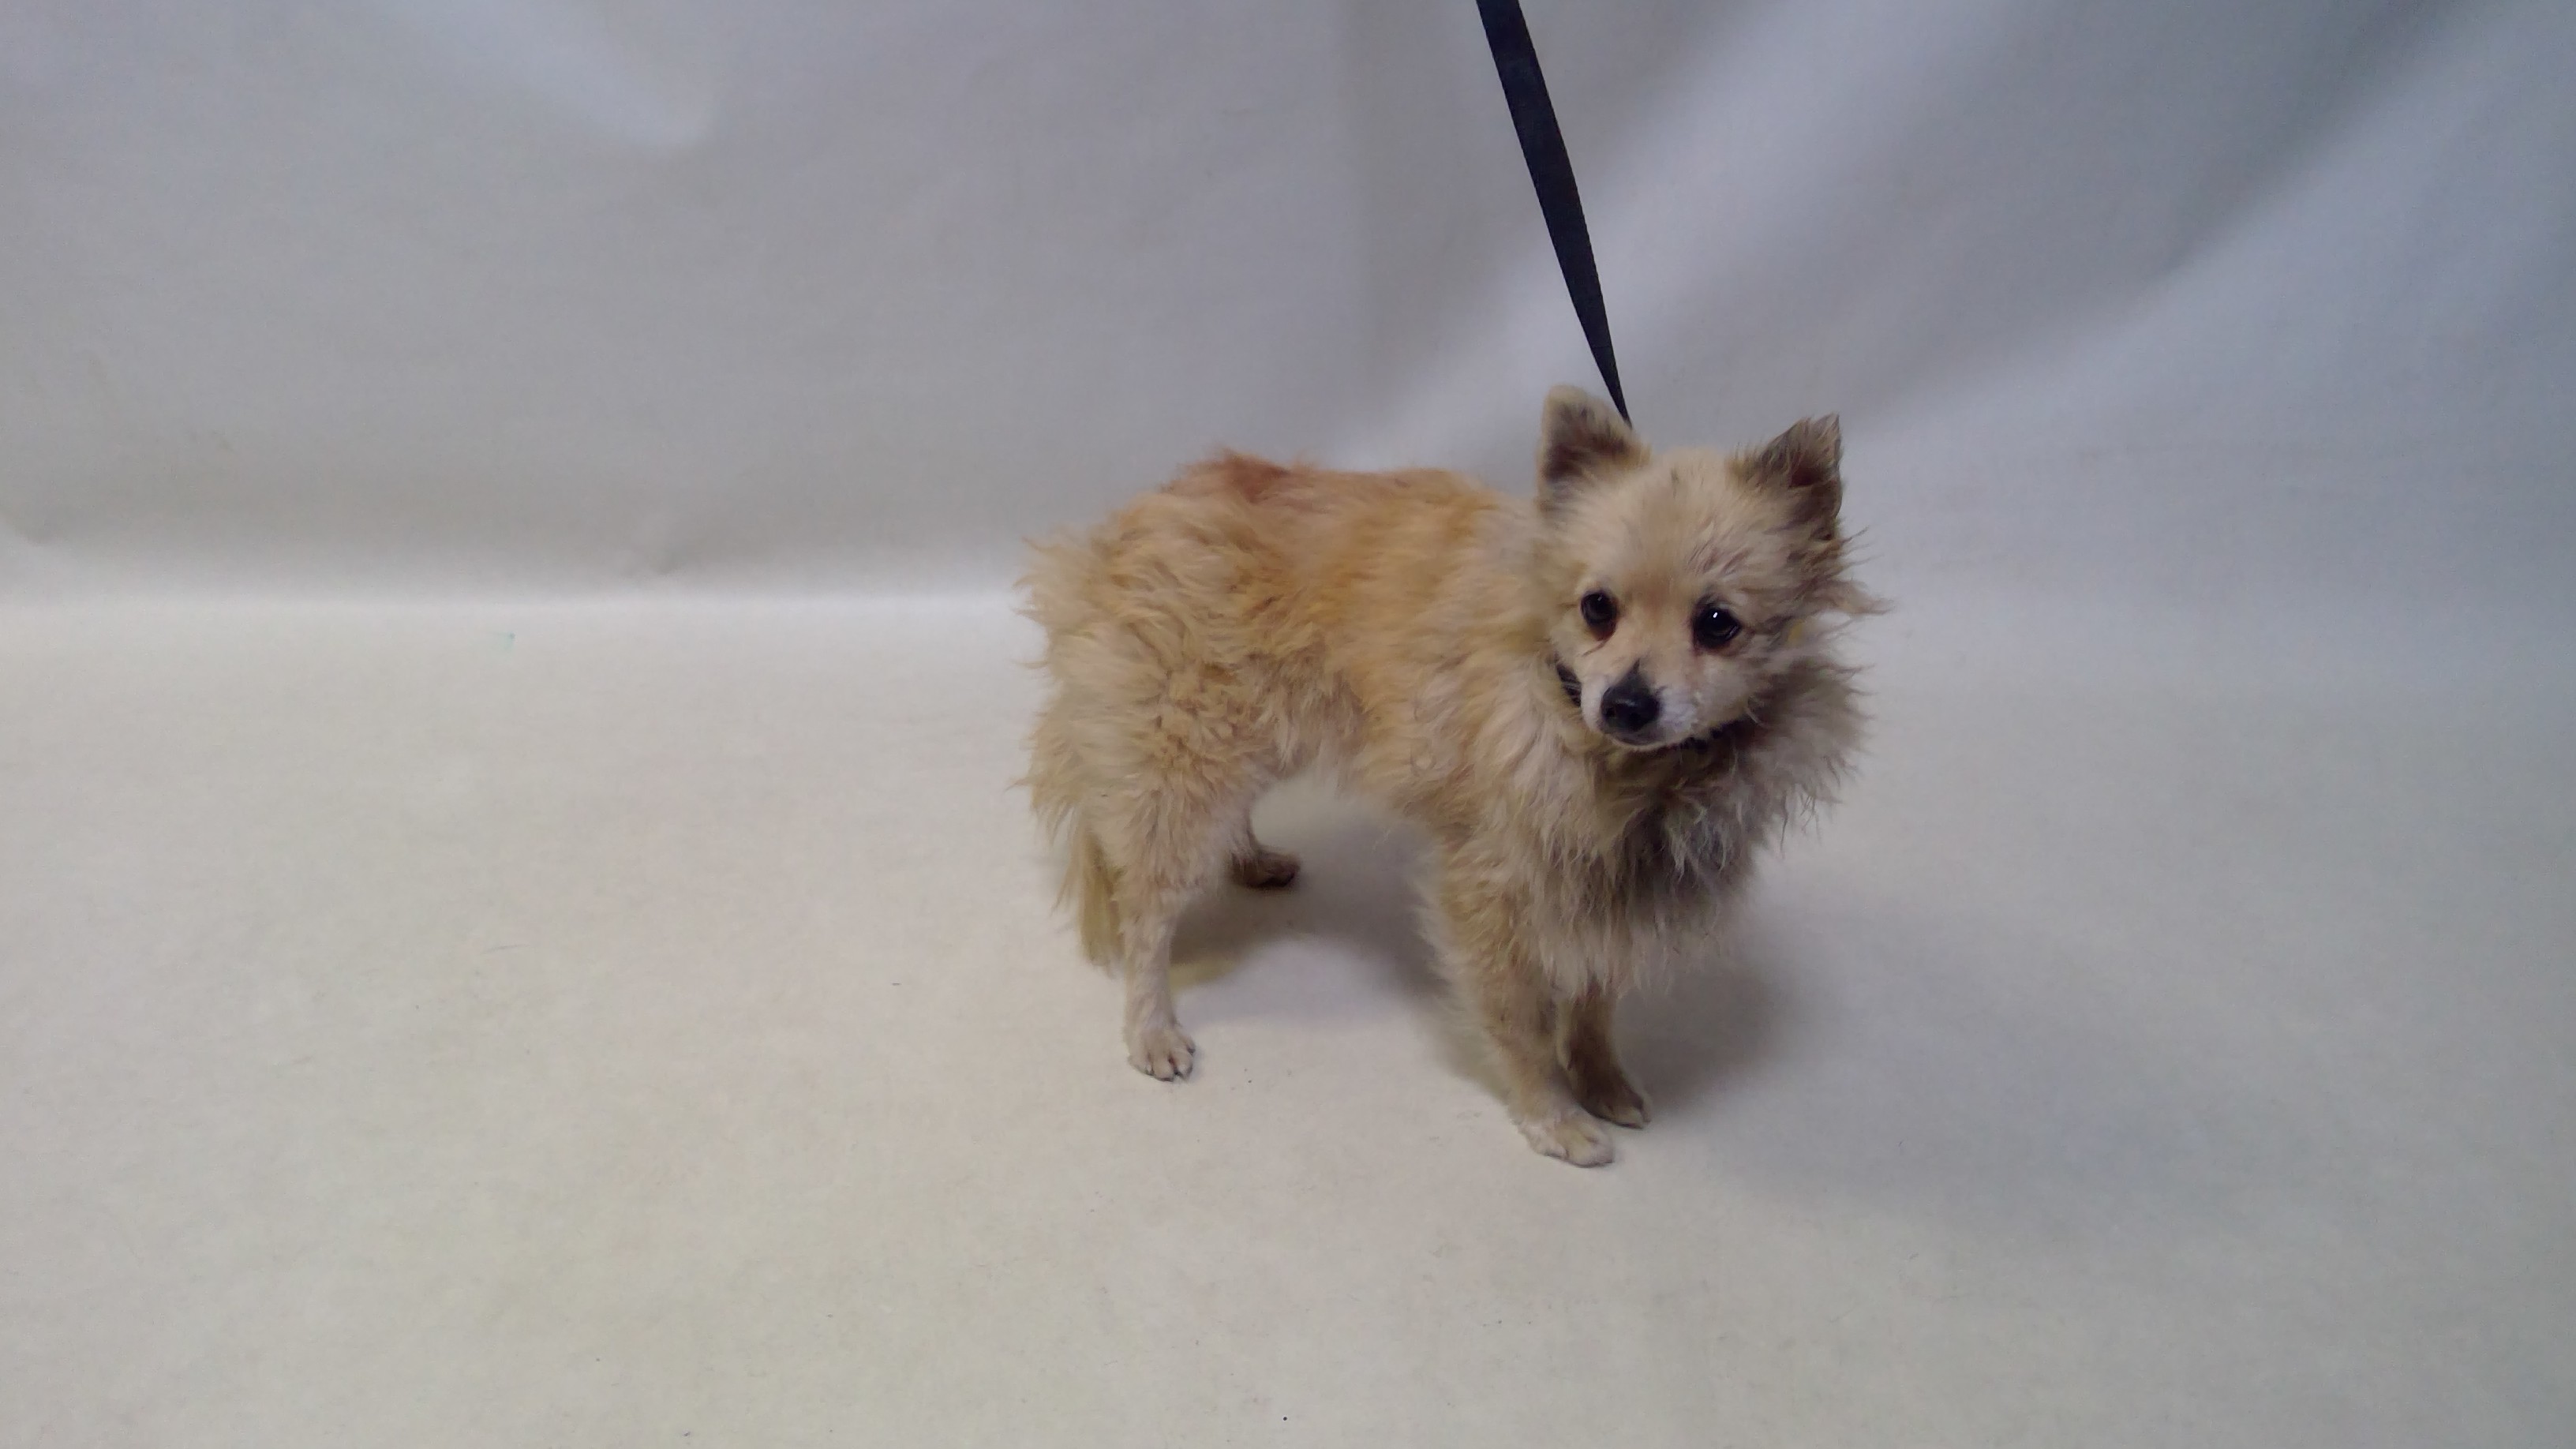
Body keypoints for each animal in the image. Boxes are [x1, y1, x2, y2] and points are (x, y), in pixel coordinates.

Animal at [1022, 388, 1875, 1165]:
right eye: (1597, 608)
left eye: (1718, 625)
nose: (1626, 702)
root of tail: (1138, 518)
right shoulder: (1495, 888)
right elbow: (1523, 1020)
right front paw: (1552, 1115)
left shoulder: (1604, 888)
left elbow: (1594, 1001)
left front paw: (1600, 1079)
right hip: (1190, 756)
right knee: (1147, 914)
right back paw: (1152, 1028)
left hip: (1260, 735)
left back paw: (1252, 859)